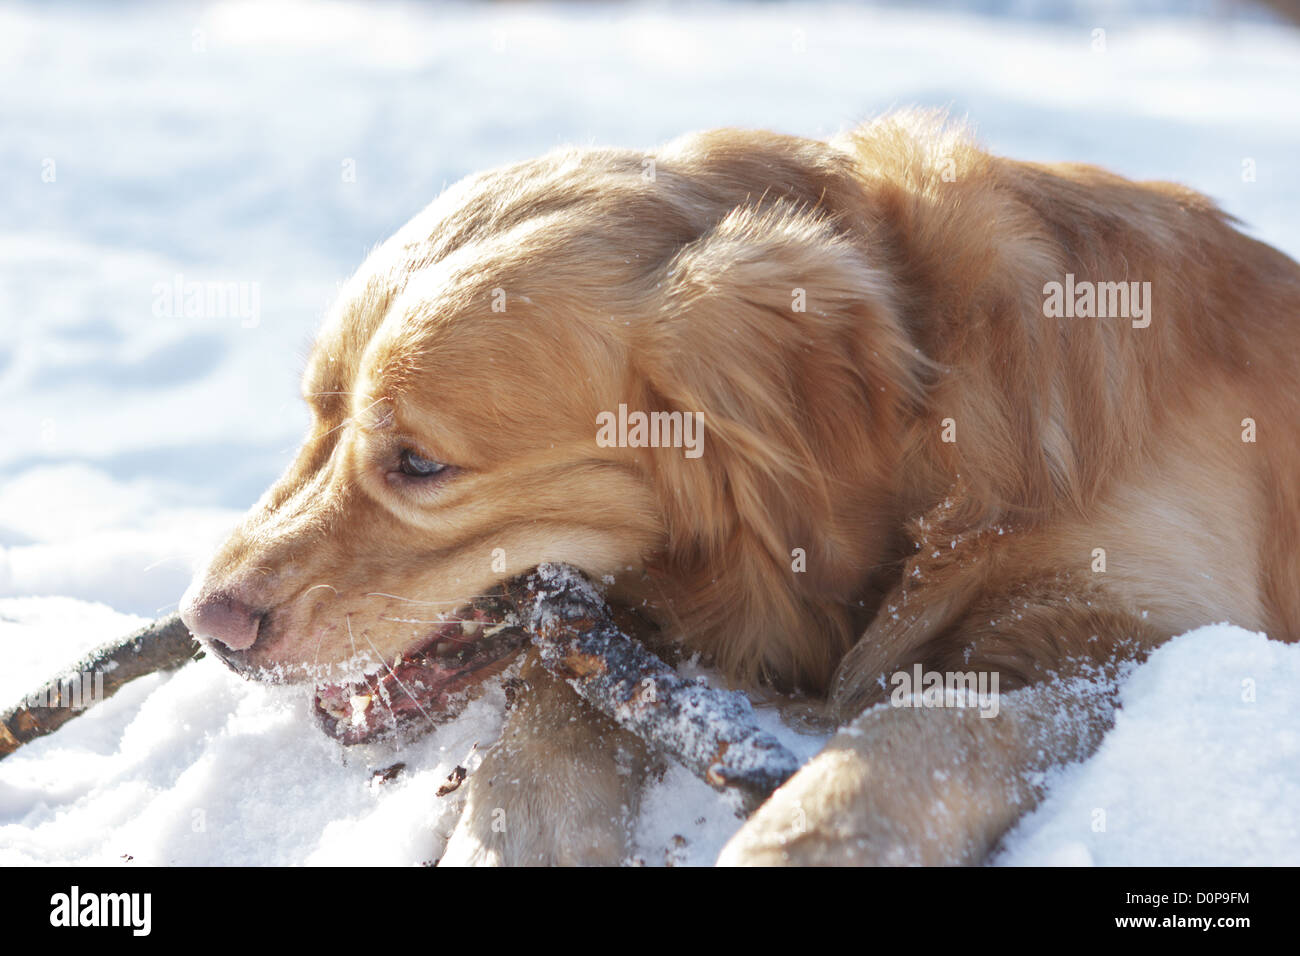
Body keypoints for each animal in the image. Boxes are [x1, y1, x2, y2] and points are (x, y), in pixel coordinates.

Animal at [180, 113, 1300, 868]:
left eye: (419, 462)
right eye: (314, 414)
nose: (207, 620)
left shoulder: (1125, 636)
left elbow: (924, 724)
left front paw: (804, 835)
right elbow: (553, 708)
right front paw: (520, 830)